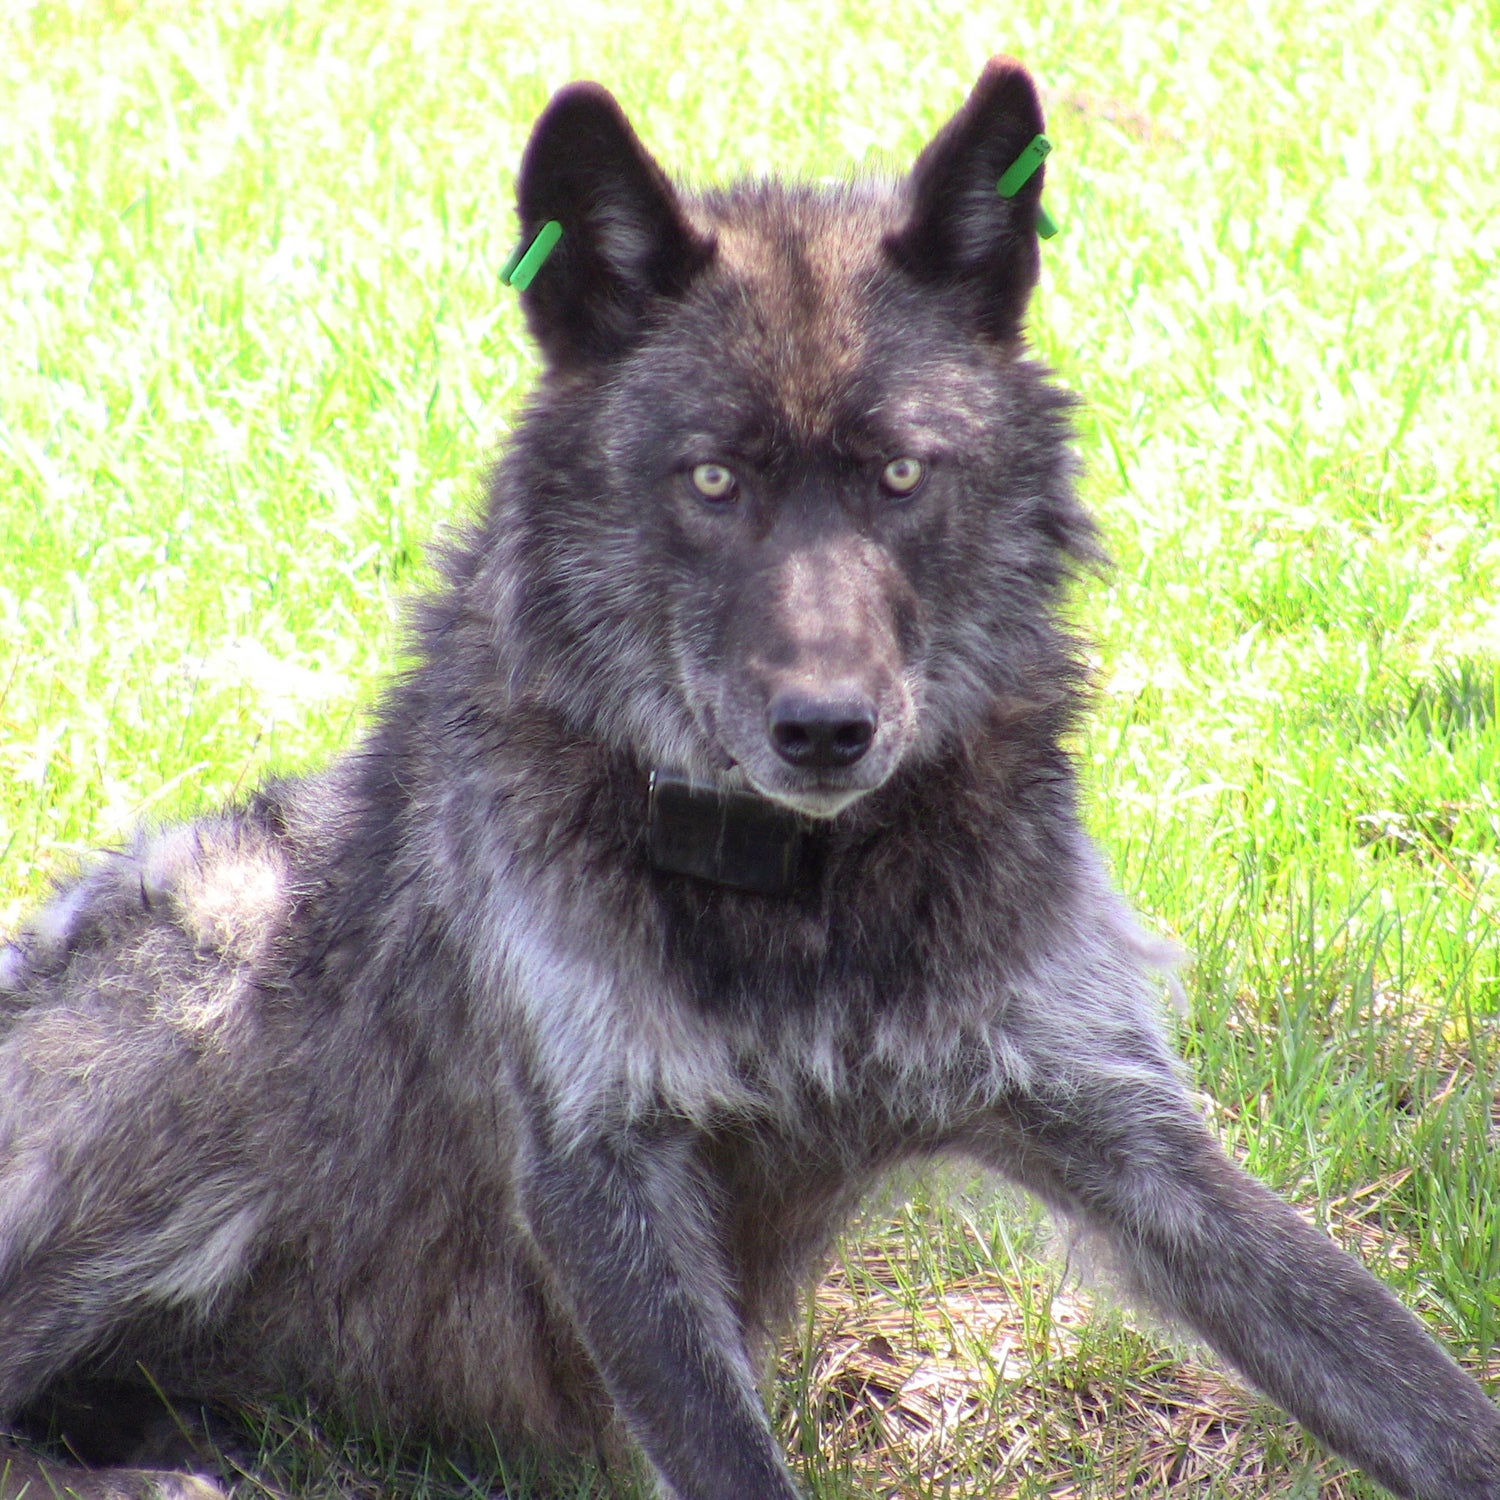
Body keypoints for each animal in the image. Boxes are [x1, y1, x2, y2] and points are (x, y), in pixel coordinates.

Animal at [2, 55, 1500, 1500]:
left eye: (900, 475)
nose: (825, 732)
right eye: (713, 479)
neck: (805, 900)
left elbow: (1411, 1390)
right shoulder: (603, 1173)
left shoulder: (1120, 1125)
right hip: (215, 979)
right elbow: (725, 1453)